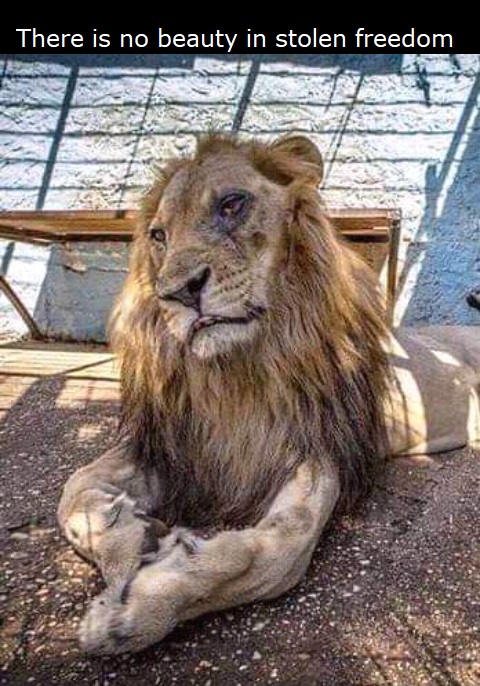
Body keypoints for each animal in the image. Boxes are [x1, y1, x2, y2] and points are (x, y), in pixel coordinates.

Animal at [58, 133, 480, 655]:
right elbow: (74, 490)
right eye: (158, 236)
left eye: (231, 204)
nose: (177, 293)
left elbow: (277, 553)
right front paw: (130, 541)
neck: (236, 372)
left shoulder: (317, 446)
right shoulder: (180, 445)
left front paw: (147, 601)